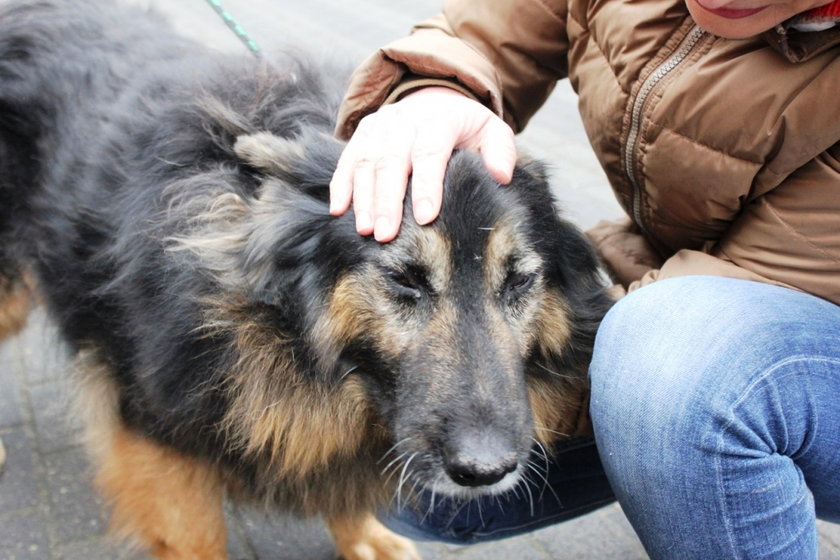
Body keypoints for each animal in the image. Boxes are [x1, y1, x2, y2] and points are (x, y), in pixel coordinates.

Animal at [0, 1, 612, 560]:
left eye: (519, 282)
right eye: (404, 279)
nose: (487, 471)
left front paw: (365, 540)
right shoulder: (158, 438)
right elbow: (198, 536)